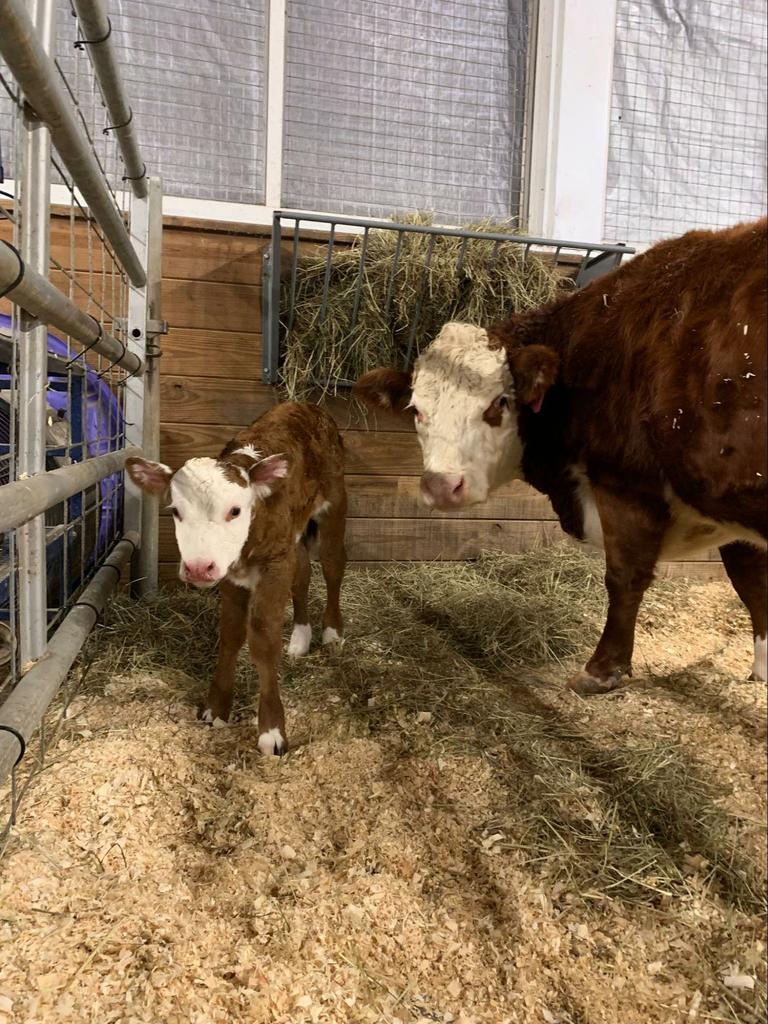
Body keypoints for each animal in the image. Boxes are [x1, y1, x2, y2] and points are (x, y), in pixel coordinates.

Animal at [126, 401, 348, 753]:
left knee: (333, 564)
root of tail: (305, 405)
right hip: (293, 537)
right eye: (175, 511)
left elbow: (263, 639)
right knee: (302, 573)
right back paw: (300, 638)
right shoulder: (232, 571)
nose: (198, 567)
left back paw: (331, 632)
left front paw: (271, 730)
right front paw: (217, 708)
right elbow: (230, 634)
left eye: (234, 511)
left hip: (334, 504)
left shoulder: (273, 565)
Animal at [356, 219, 768, 692]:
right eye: (416, 410)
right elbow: (752, 580)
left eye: (500, 403)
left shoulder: (624, 483)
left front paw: (602, 670)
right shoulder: (726, 503)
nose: (443, 486)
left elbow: (625, 576)